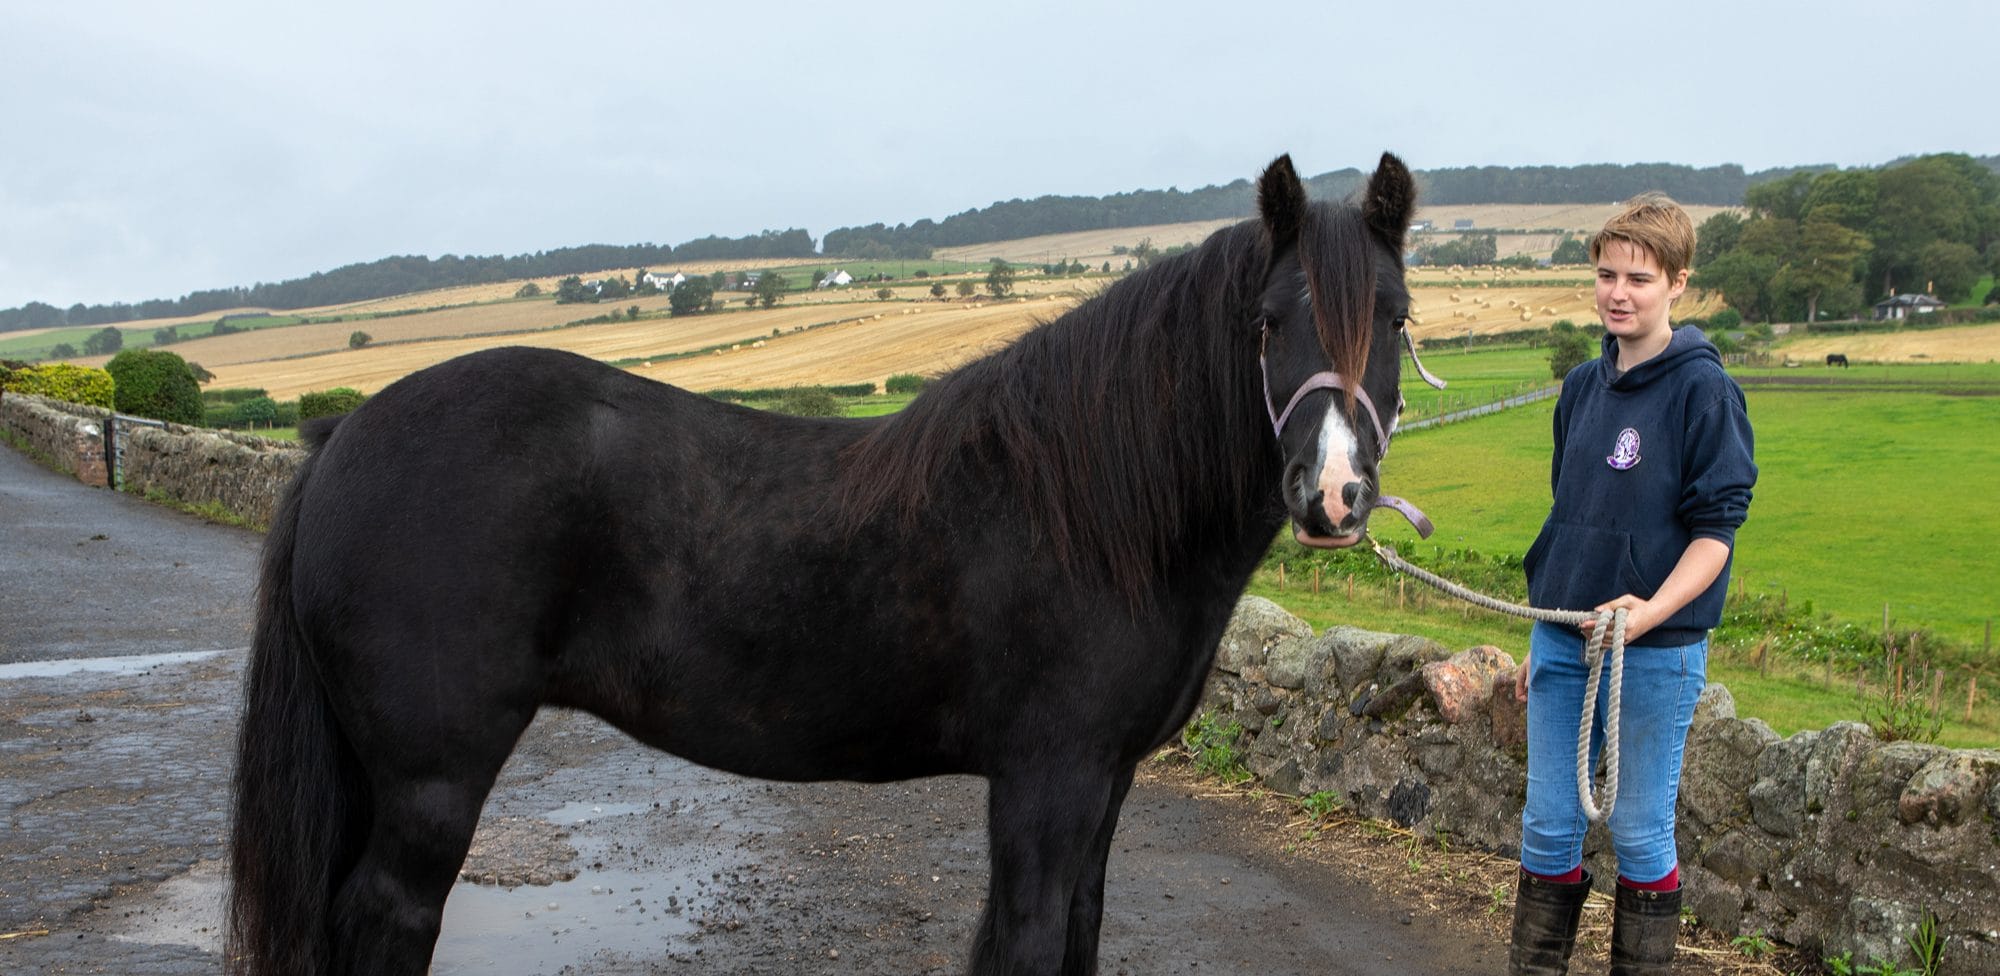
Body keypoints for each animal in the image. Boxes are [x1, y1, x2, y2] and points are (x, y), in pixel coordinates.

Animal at [230, 154, 1424, 976]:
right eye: (1268, 319)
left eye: (1397, 313)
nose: (1331, 495)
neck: (1086, 504)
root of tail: (343, 434)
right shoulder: (1046, 780)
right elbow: (1030, 942)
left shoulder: (1105, 781)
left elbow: (1077, 937)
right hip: (430, 783)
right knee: (385, 923)